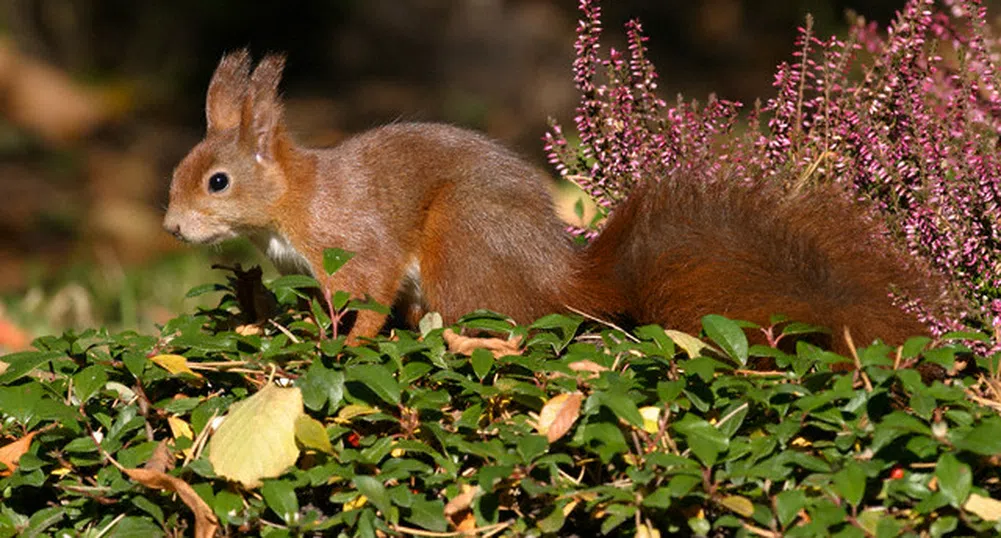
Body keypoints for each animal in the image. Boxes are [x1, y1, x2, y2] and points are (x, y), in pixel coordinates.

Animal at [162, 50, 936, 350]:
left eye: (217, 182)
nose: (171, 228)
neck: (294, 200)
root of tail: (559, 282)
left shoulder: (355, 244)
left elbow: (370, 295)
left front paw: (342, 342)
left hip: (459, 240)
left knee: (498, 328)